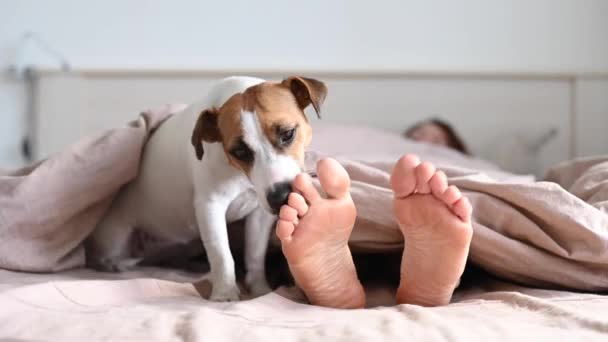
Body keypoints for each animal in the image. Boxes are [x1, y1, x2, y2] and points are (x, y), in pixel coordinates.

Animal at [85, 76, 328, 300]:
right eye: (239, 151)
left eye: (287, 133)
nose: (281, 197)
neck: (238, 174)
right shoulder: (210, 206)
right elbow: (222, 254)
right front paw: (225, 294)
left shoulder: (260, 213)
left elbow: (255, 254)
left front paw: (260, 289)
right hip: (116, 236)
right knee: (106, 259)